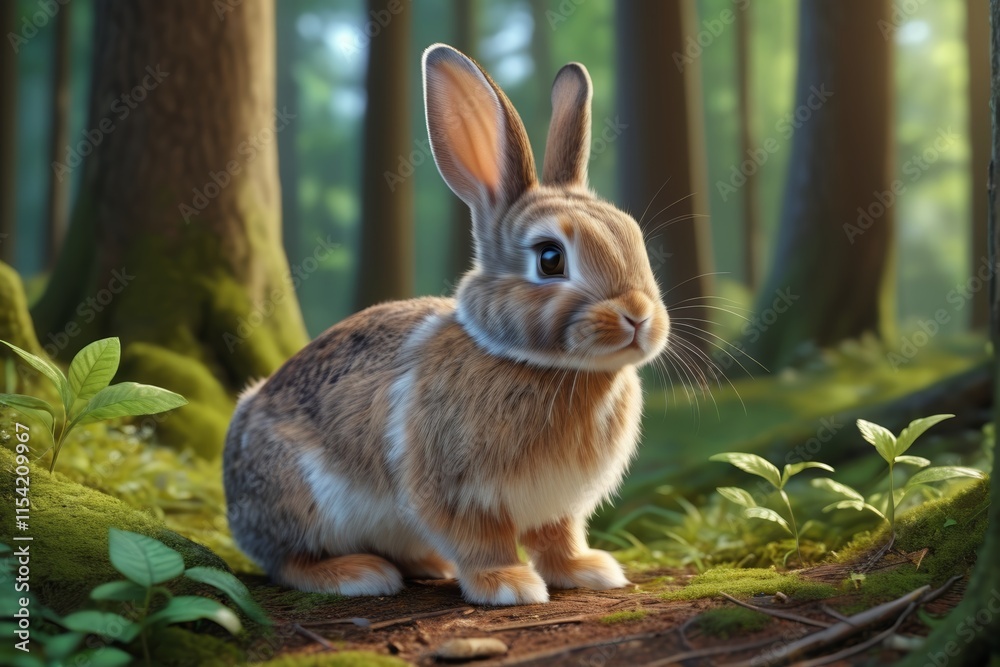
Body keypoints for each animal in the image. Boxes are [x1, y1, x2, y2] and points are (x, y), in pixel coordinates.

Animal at [222, 43, 670, 606]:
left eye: (633, 236)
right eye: (550, 259)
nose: (639, 315)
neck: (539, 364)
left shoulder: (559, 504)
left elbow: (558, 537)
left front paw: (589, 570)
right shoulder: (455, 490)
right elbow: (481, 539)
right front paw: (508, 584)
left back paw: (428, 565)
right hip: (298, 498)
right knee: (288, 560)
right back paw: (357, 574)